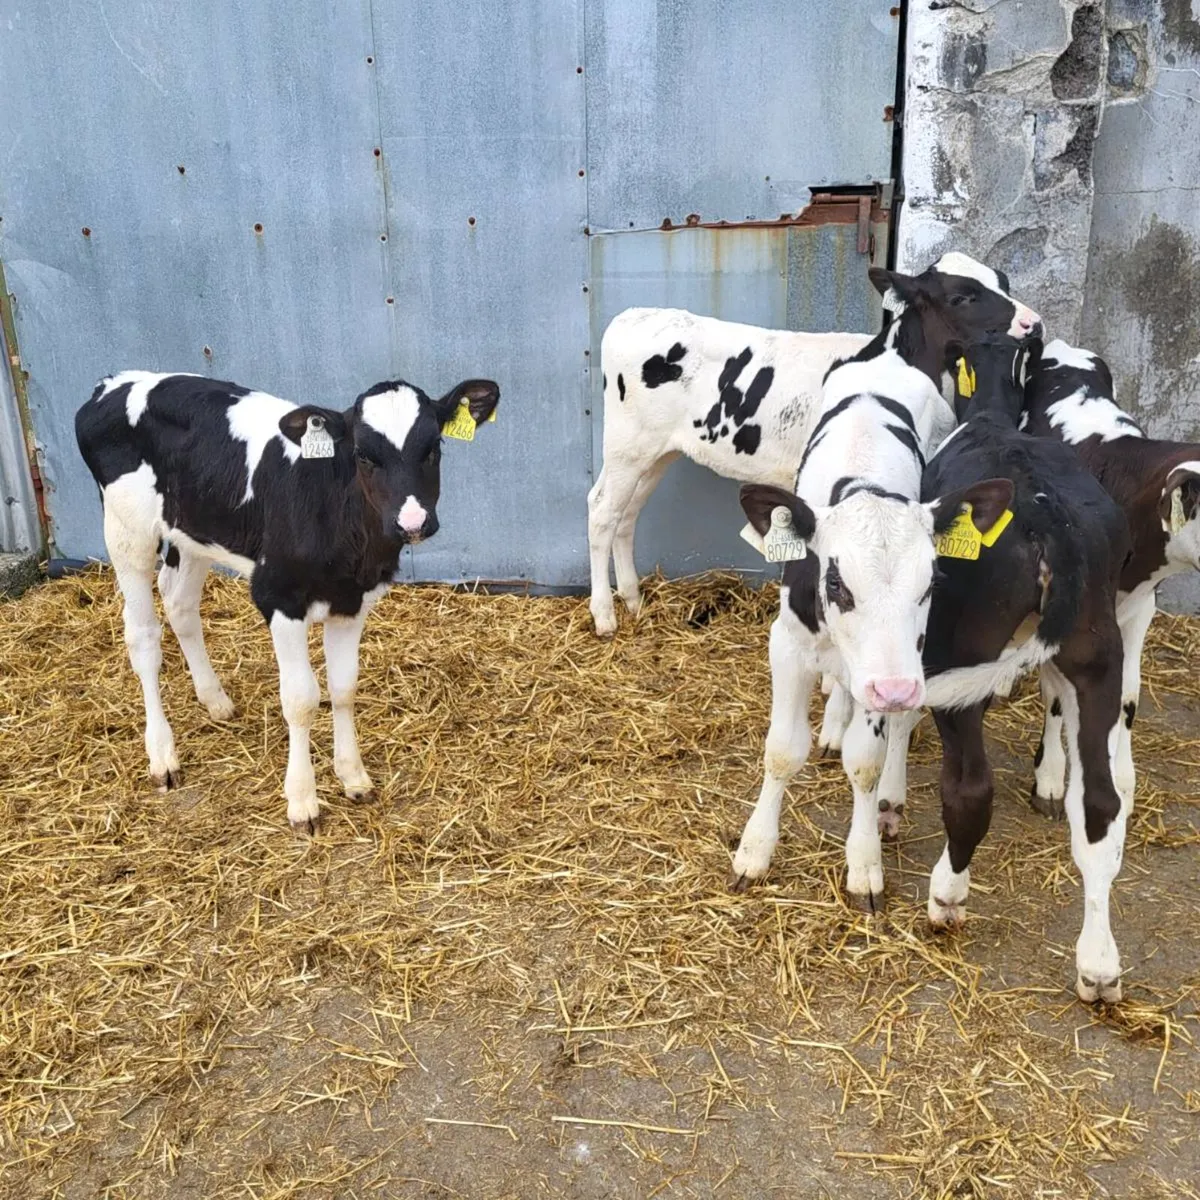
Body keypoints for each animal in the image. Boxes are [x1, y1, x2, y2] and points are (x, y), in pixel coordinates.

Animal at [75, 370, 500, 833]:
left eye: (433, 447)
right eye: (363, 455)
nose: (413, 523)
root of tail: (114, 381)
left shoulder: (352, 602)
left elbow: (343, 688)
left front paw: (353, 777)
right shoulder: (278, 597)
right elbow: (301, 700)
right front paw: (302, 801)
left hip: (194, 532)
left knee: (180, 603)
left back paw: (215, 699)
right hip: (127, 531)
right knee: (143, 637)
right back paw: (163, 756)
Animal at [588, 253, 1043, 637]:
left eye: (1003, 281)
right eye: (962, 296)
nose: (1033, 323)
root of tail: (631, 317)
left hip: (655, 452)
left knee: (627, 514)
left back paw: (632, 599)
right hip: (628, 446)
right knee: (602, 512)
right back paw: (605, 615)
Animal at [728, 258, 1042, 920]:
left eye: (931, 584)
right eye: (835, 582)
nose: (1030, 323)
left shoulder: (896, 661)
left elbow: (866, 763)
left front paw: (865, 863)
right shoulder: (787, 641)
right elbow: (781, 750)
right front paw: (755, 851)